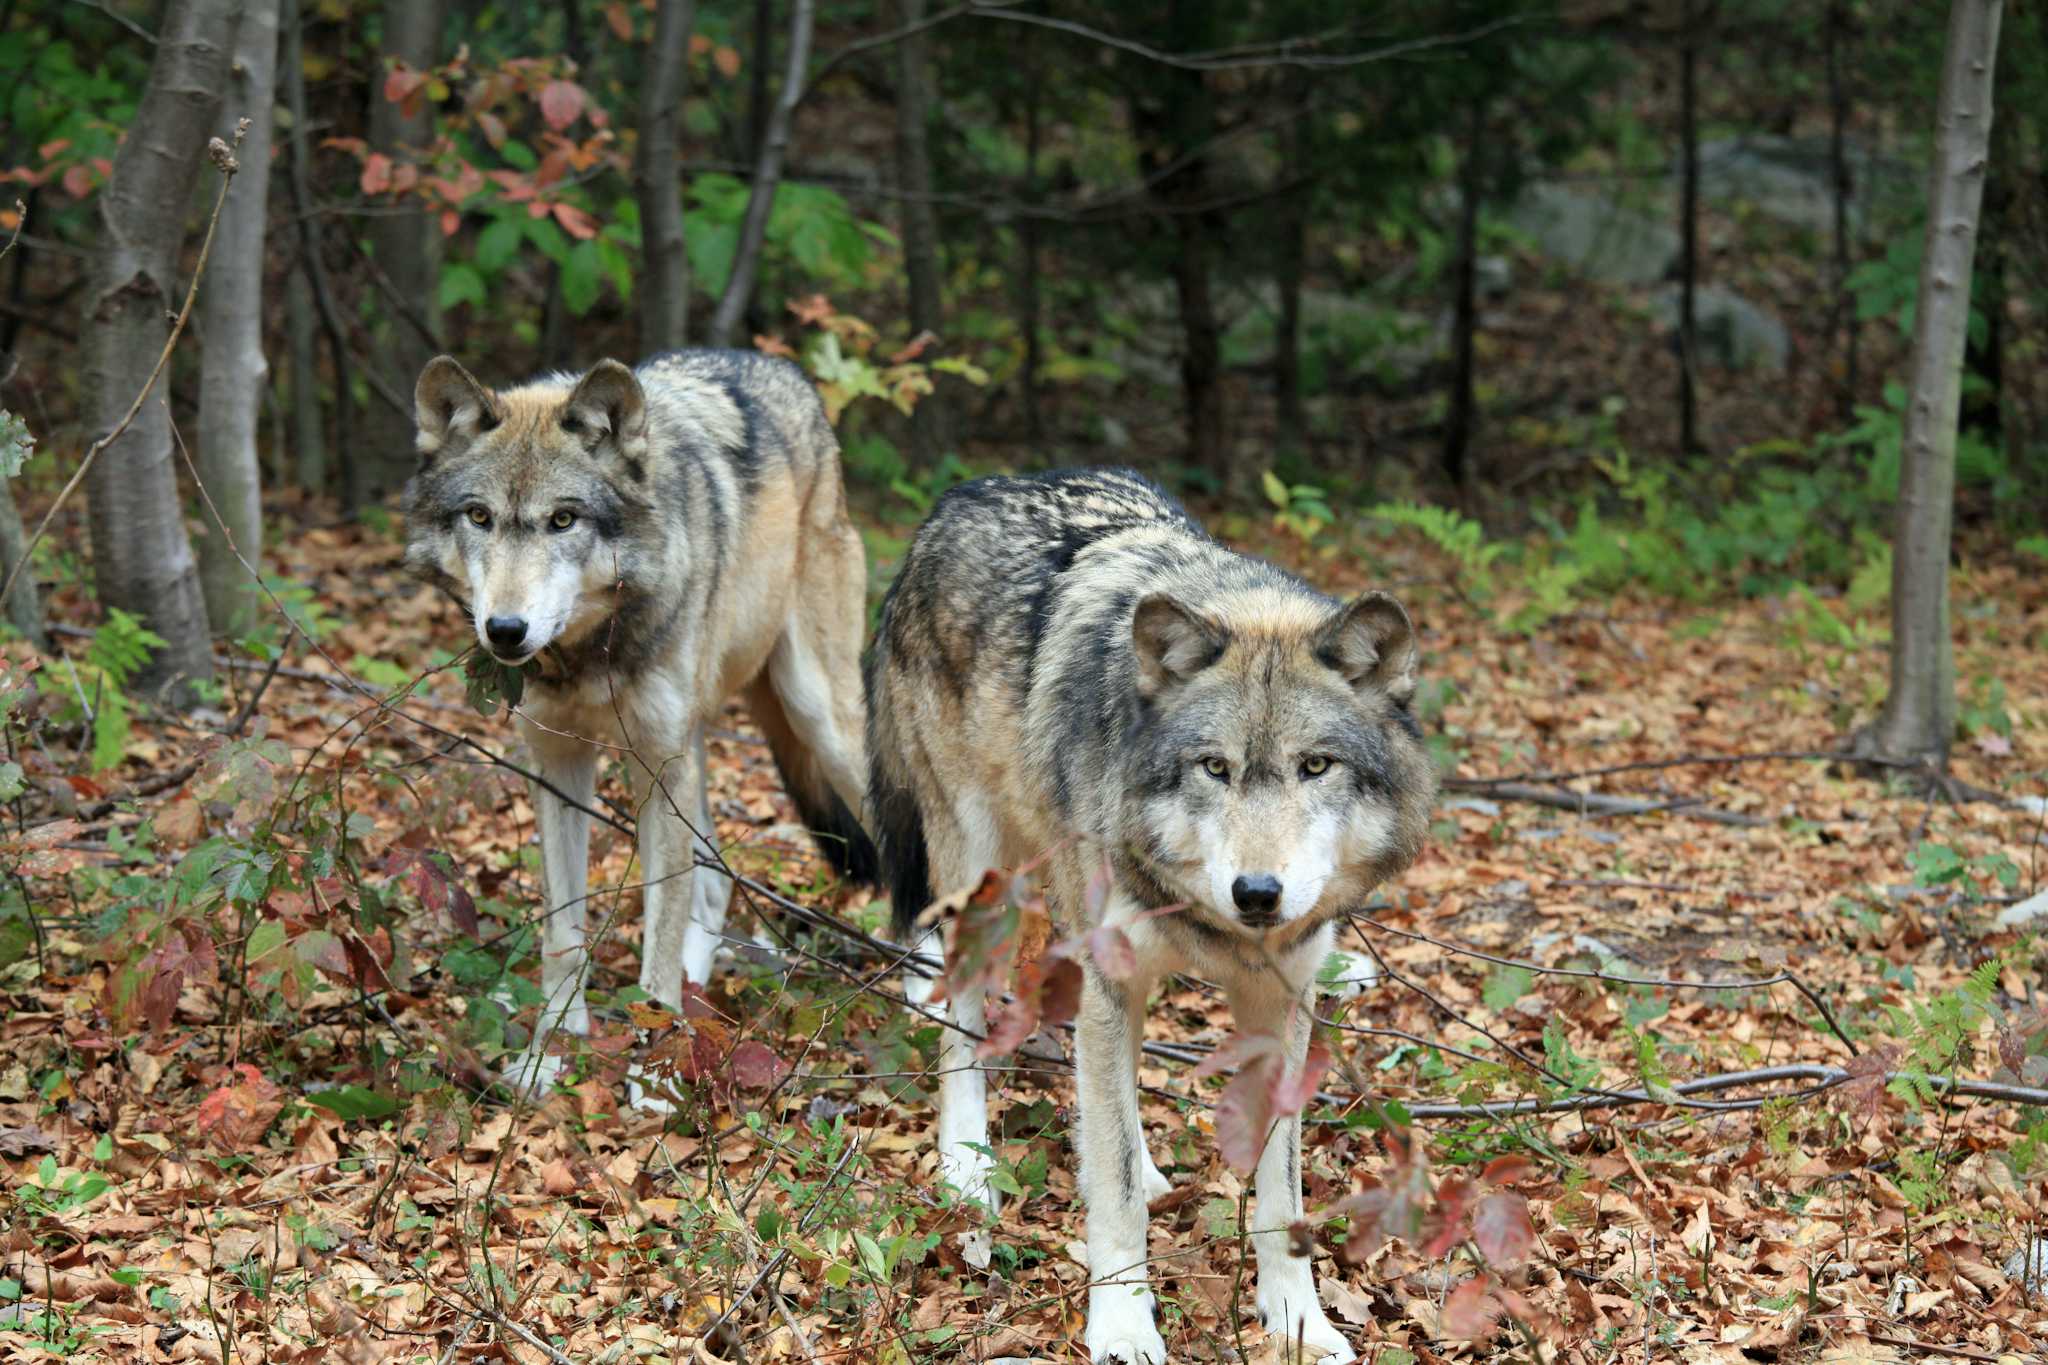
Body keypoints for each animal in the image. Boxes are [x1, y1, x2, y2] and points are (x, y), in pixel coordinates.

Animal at [405, 349, 872, 1088]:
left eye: (563, 520)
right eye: (478, 516)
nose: (505, 630)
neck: (588, 654)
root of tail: (781, 368)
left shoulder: (657, 769)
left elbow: (658, 936)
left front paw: (655, 1080)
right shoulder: (559, 764)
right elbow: (563, 935)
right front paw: (548, 1056)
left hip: (817, 719)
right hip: (697, 747)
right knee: (713, 886)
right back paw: (698, 995)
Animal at [868, 466, 1441, 1358]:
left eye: (1317, 766)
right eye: (1215, 767)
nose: (1257, 892)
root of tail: (958, 498)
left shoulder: (1280, 1003)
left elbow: (1279, 1195)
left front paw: (1297, 1318)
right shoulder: (1110, 977)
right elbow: (1118, 1199)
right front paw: (1123, 1322)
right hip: (977, 869)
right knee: (959, 1022)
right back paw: (967, 1163)